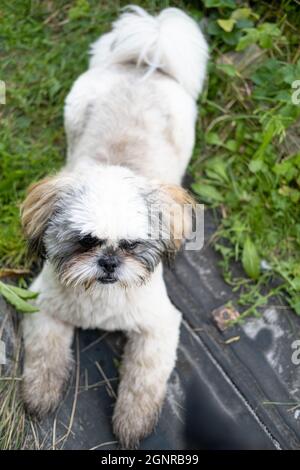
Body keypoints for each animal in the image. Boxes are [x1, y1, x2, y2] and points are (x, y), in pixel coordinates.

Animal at [21, 6, 209, 448]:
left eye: (131, 245)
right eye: (85, 242)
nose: (108, 263)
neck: (101, 298)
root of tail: (144, 61)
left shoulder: (159, 327)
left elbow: (143, 381)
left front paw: (133, 422)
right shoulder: (43, 308)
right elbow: (44, 355)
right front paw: (40, 393)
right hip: (74, 110)